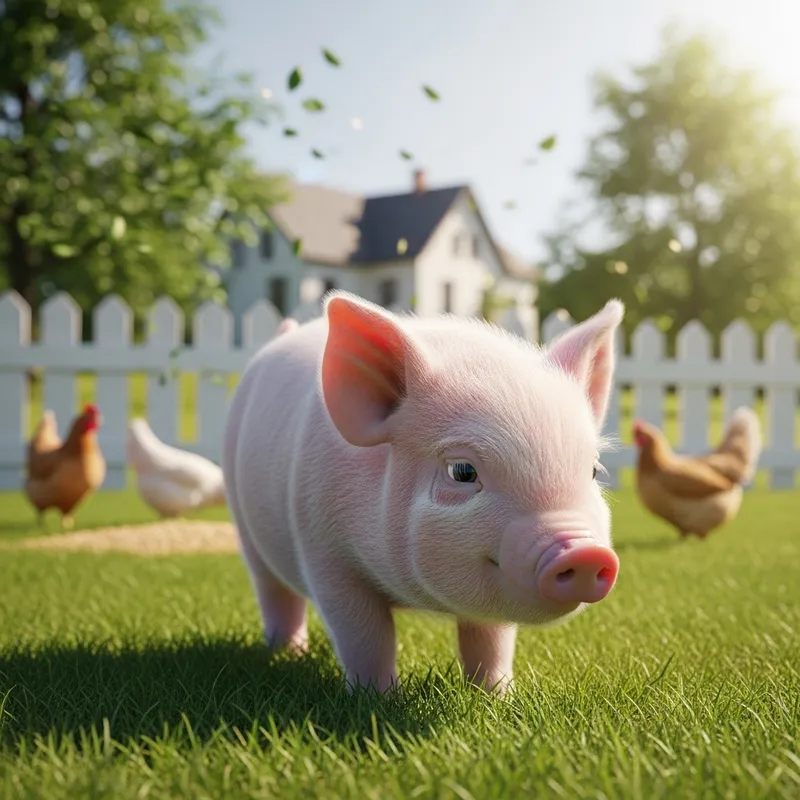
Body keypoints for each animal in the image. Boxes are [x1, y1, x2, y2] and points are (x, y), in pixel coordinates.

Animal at [222, 291, 624, 694]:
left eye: (593, 471)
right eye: (462, 471)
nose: (585, 552)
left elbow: (491, 638)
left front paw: (498, 696)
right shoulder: (324, 551)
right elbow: (365, 635)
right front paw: (377, 698)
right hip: (245, 527)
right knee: (274, 592)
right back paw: (288, 652)